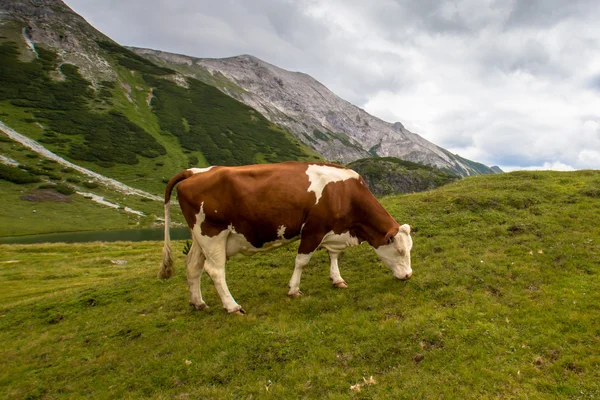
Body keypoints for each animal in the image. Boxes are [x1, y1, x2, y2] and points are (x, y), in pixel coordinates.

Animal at [158, 161, 412, 314]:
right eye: (400, 251)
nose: (408, 275)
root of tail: (195, 172)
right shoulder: (313, 230)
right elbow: (302, 261)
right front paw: (294, 289)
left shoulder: (335, 229)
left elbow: (334, 255)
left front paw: (337, 279)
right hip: (212, 233)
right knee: (215, 270)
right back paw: (232, 306)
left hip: (199, 237)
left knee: (193, 266)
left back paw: (198, 302)